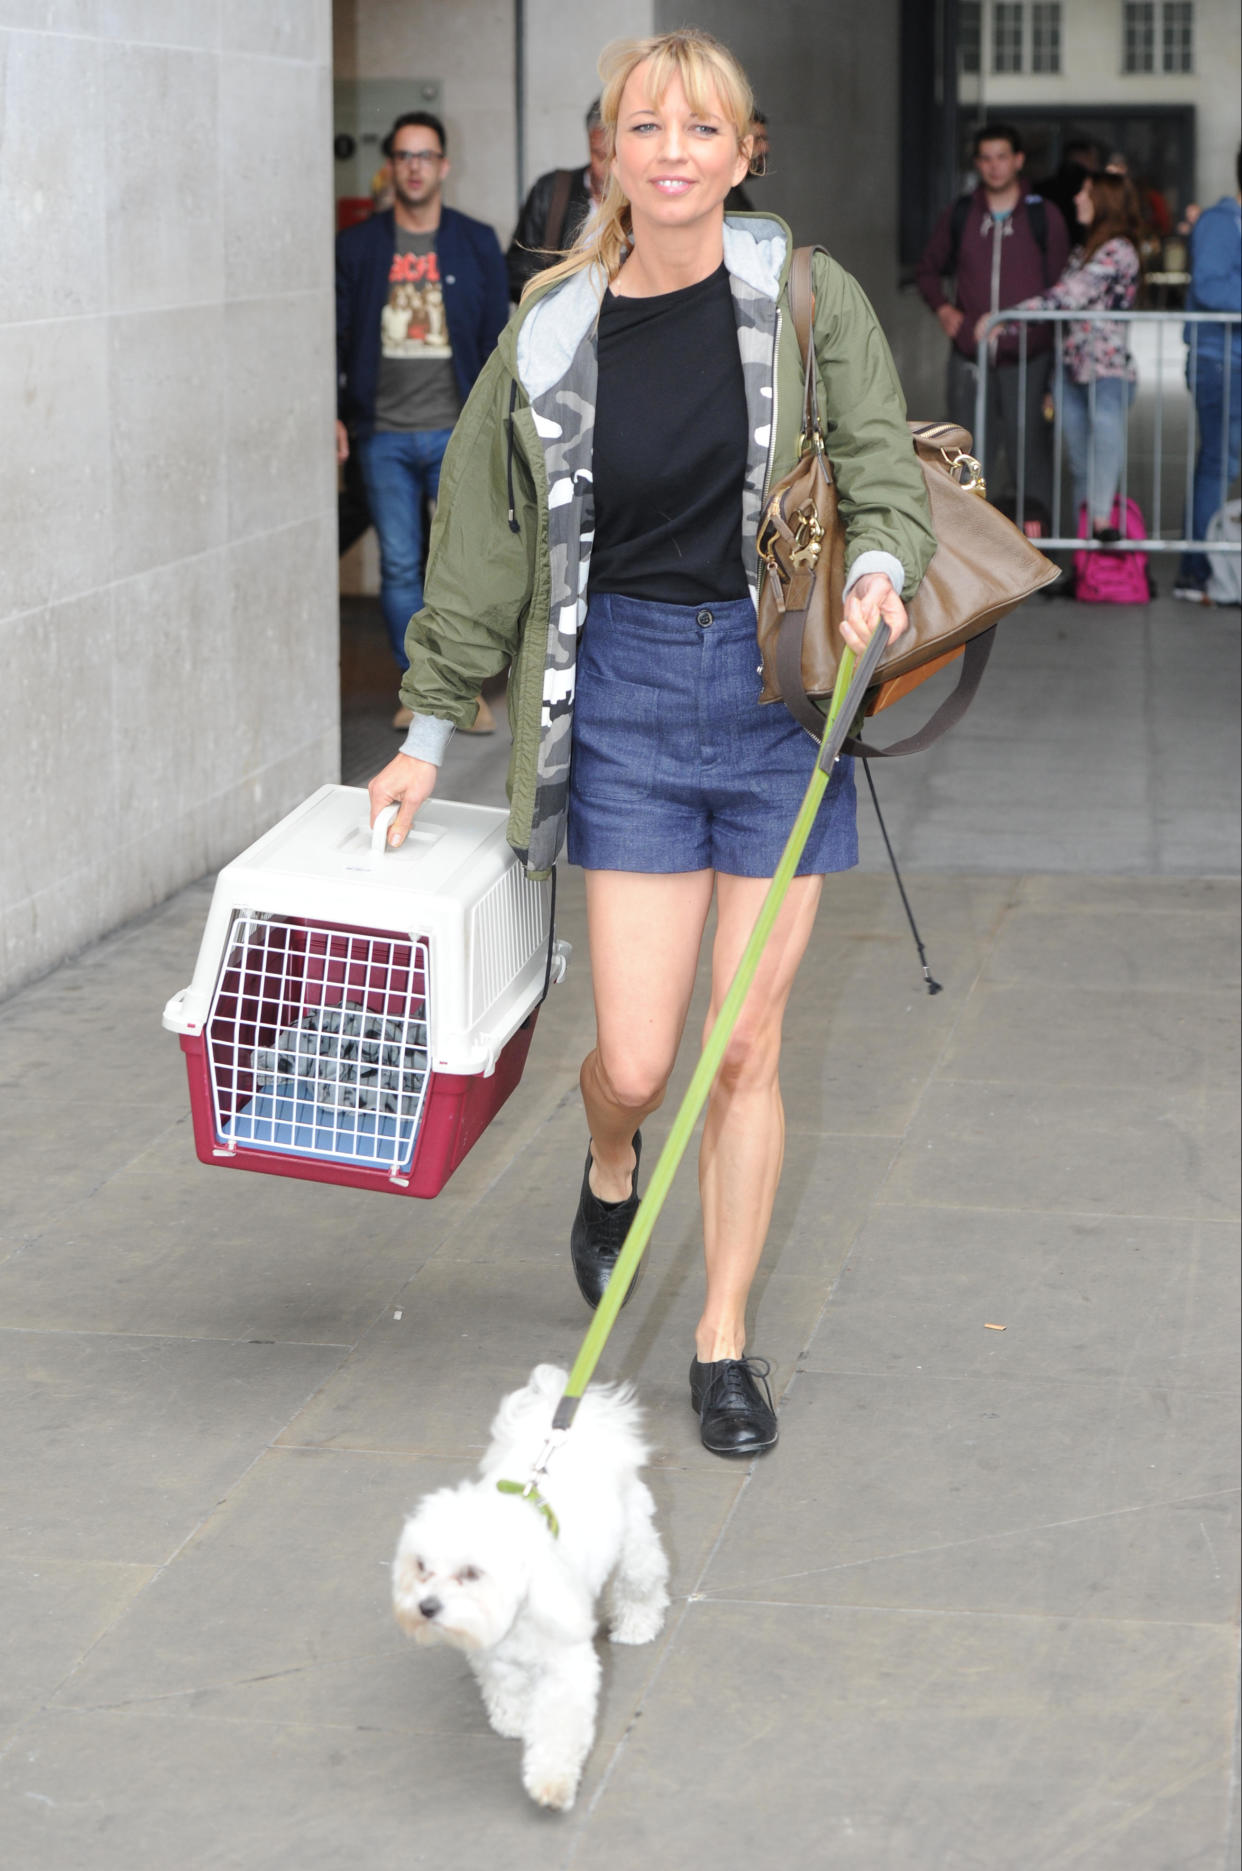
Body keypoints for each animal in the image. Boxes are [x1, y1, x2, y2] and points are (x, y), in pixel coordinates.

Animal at [394, 1362, 669, 1811]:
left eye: (471, 1572)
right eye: (421, 1566)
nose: (426, 1607)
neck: (518, 1614)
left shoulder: (567, 1668)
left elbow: (558, 1727)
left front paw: (551, 1783)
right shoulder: (495, 1658)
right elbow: (506, 1693)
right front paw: (513, 1721)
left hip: (635, 1544)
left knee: (642, 1583)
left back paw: (637, 1626)